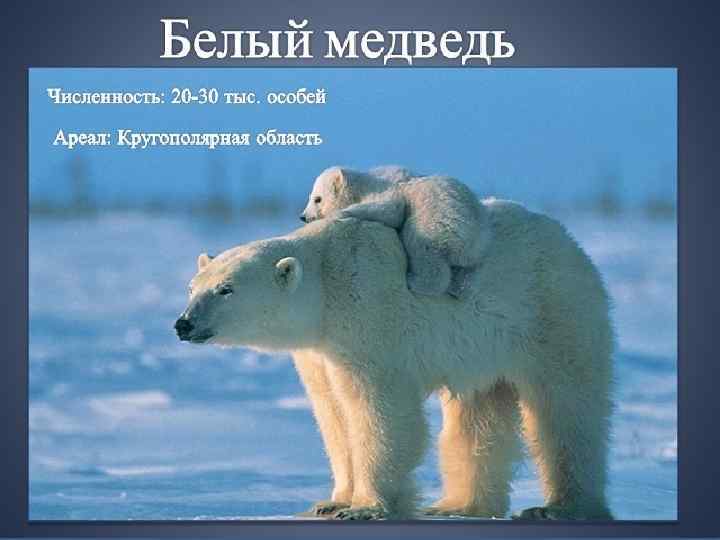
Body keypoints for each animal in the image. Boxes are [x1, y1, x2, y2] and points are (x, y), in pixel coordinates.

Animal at [175, 200, 614, 521]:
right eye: (193, 287)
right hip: (484, 352)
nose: (184, 323)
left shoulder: (367, 316)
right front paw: (331, 501)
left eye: (226, 289)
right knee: (478, 418)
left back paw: (560, 507)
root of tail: (571, 242)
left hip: (552, 311)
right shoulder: (320, 352)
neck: (326, 284)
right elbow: (333, 413)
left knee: (566, 408)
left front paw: (365, 508)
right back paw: (457, 506)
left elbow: (378, 409)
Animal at [299, 166, 490, 298]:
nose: (303, 217)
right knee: (468, 274)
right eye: (310, 197)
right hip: (476, 248)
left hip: (436, 221)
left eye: (317, 199)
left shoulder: (387, 191)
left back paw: (415, 281)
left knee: (422, 248)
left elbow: (390, 209)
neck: (365, 184)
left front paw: (342, 213)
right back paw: (459, 288)